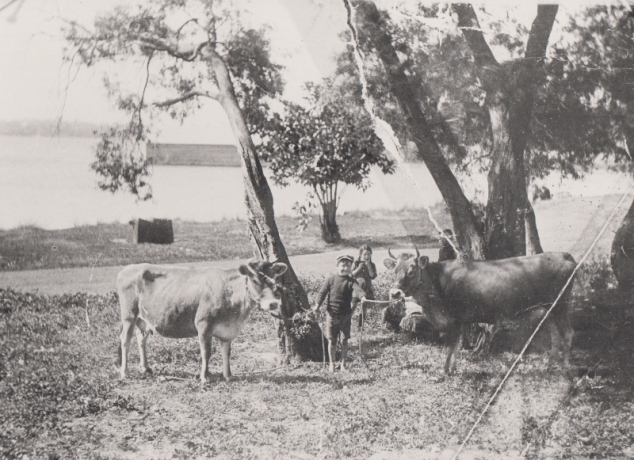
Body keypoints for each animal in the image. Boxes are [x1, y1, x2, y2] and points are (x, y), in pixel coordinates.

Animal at [116, 260, 286, 382]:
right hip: (129, 314)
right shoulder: (203, 323)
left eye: (274, 279)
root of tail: (128, 268)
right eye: (255, 280)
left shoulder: (228, 330)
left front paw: (228, 375)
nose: (273, 303)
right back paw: (124, 372)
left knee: (141, 339)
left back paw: (145, 368)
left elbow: (227, 352)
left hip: (143, 319)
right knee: (125, 340)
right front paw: (204, 377)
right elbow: (206, 352)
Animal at [382, 248, 576, 374]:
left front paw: (444, 373)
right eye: (394, 270)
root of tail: (564, 255)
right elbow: (455, 348)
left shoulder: (452, 319)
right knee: (555, 335)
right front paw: (452, 370)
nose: (395, 292)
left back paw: (566, 369)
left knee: (567, 333)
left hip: (561, 306)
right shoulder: (459, 321)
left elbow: (449, 348)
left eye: (412, 271)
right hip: (550, 309)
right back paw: (550, 366)